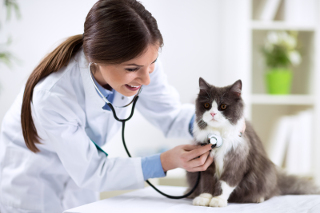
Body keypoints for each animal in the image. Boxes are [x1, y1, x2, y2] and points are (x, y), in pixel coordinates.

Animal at [186, 77, 318, 207]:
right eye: (207, 105)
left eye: (223, 106)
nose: (213, 113)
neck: (218, 135)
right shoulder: (206, 165)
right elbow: (206, 182)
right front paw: (204, 198)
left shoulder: (236, 162)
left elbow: (225, 183)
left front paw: (218, 199)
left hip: (266, 174)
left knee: (270, 192)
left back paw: (258, 198)